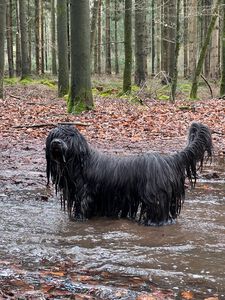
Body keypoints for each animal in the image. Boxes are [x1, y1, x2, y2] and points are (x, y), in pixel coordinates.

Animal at [46, 122, 213, 225]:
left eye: (67, 137)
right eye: (53, 136)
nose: (56, 143)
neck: (79, 162)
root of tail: (169, 159)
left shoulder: (85, 195)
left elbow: (82, 208)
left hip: (156, 196)